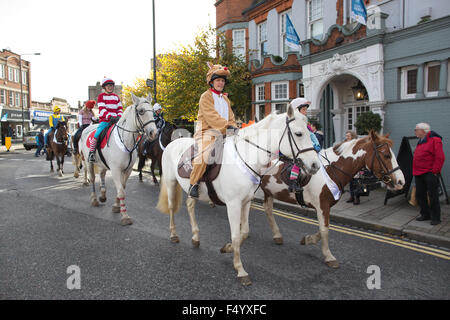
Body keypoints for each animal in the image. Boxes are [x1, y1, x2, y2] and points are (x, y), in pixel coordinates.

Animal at [79, 93, 158, 225]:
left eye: (153, 111)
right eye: (141, 111)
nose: (154, 133)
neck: (126, 140)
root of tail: (86, 129)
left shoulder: (127, 170)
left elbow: (122, 187)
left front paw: (116, 206)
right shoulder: (116, 170)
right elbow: (121, 190)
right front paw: (125, 216)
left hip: (103, 164)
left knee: (102, 175)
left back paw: (103, 195)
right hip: (88, 161)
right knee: (93, 178)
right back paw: (94, 199)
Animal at [157, 104, 320, 284]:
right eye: (299, 133)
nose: (315, 165)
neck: (246, 158)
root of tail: (173, 142)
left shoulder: (246, 202)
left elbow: (244, 232)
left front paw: (227, 248)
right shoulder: (233, 204)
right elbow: (235, 235)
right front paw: (240, 270)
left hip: (194, 190)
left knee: (190, 205)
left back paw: (195, 237)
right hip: (171, 183)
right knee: (172, 208)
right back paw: (173, 234)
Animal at [258, 130, 406, 268]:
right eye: (386, 155)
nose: (401, 182)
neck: (330, 170)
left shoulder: (325, 207)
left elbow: (324, 229)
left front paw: (308, 239)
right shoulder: (322, 206)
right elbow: (325, 230)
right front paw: (329, 256)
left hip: (268, 192)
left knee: (268, 210)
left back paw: (277, 235)